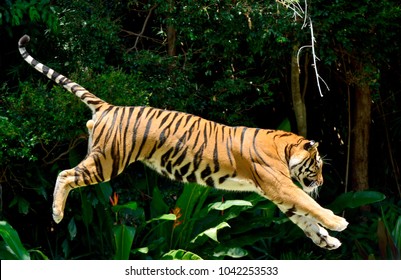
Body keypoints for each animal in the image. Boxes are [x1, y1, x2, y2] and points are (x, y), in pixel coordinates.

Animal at [17, 34, 346, 250]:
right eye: (317, 165)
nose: (321, 182)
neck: (284, 147)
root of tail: (110, 107)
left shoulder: (276, 194)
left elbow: (305, 220)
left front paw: (327, 241)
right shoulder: (280, 186)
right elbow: (310, 205)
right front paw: (338, 223)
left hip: (102, 159)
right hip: (107, 162)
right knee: (65, 174)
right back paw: (57, 214)